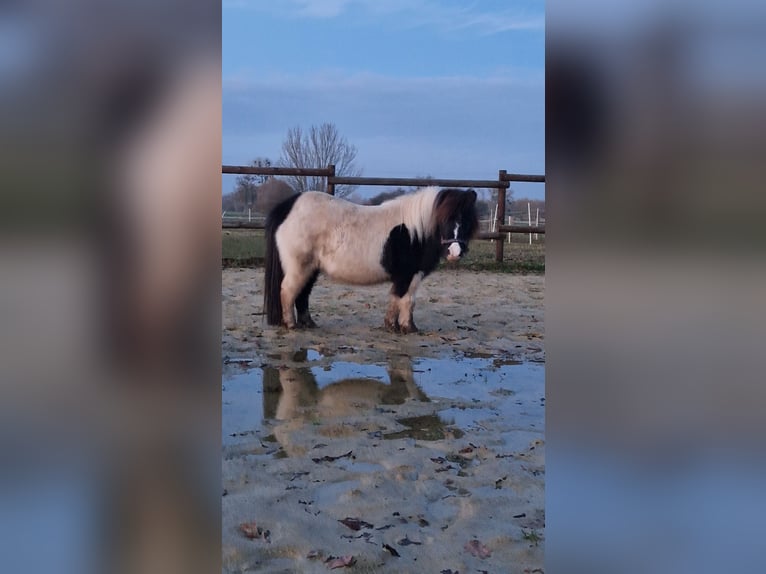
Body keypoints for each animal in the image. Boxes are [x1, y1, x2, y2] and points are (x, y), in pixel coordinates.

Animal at [268, 187, 476, 336]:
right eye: (446, 219)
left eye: (466, 221)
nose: (455, 252)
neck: (416, 232)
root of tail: (288, 207)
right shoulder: (410, 274)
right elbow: (407, 300)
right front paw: (407, 328)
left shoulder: (406, 277)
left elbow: (397, 299)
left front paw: (392, 325)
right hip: (299, 267)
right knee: (288, 291)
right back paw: (291, 324)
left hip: (311, 268)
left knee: (302, 295)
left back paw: (309, 324)